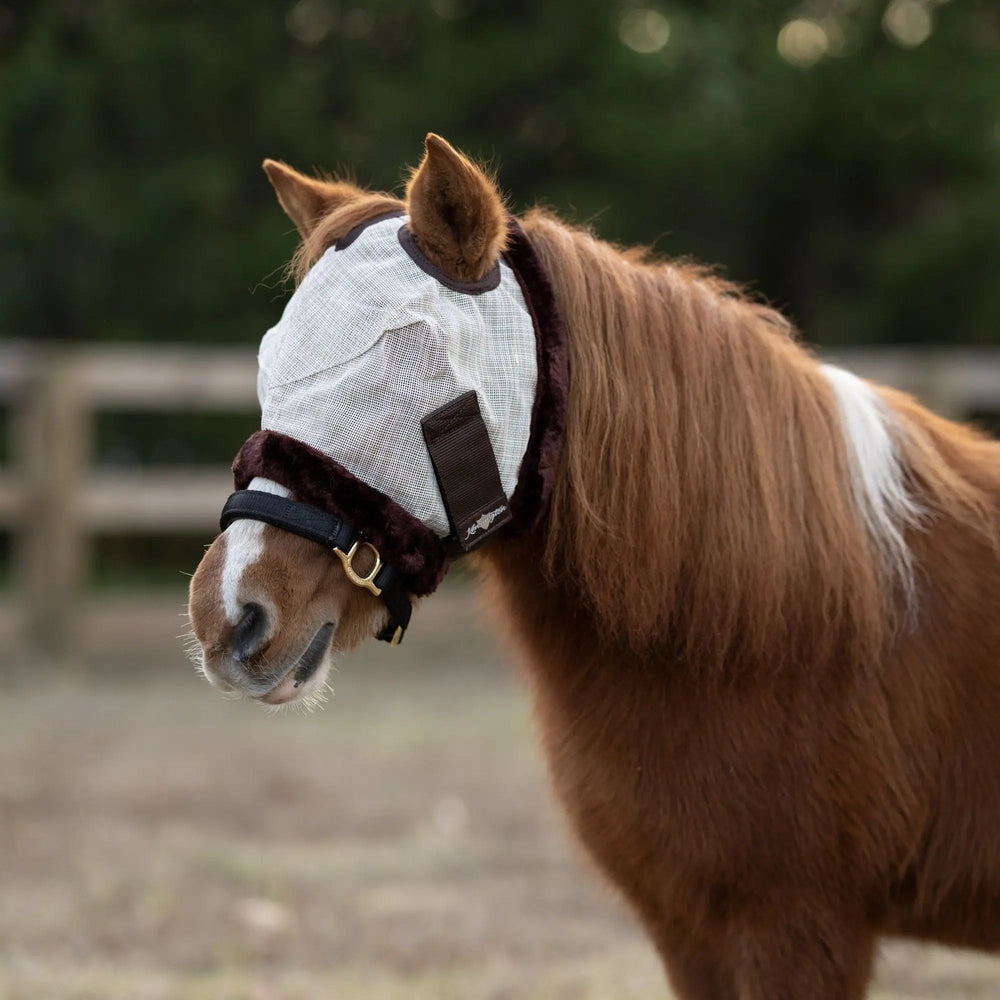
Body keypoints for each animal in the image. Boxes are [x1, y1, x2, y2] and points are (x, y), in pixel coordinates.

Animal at [188, 134, 1000, 999]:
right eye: (272, 362)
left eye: (403, 367)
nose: (230, 616)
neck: (797, 623)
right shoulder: (694, 934)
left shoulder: (797, 930)